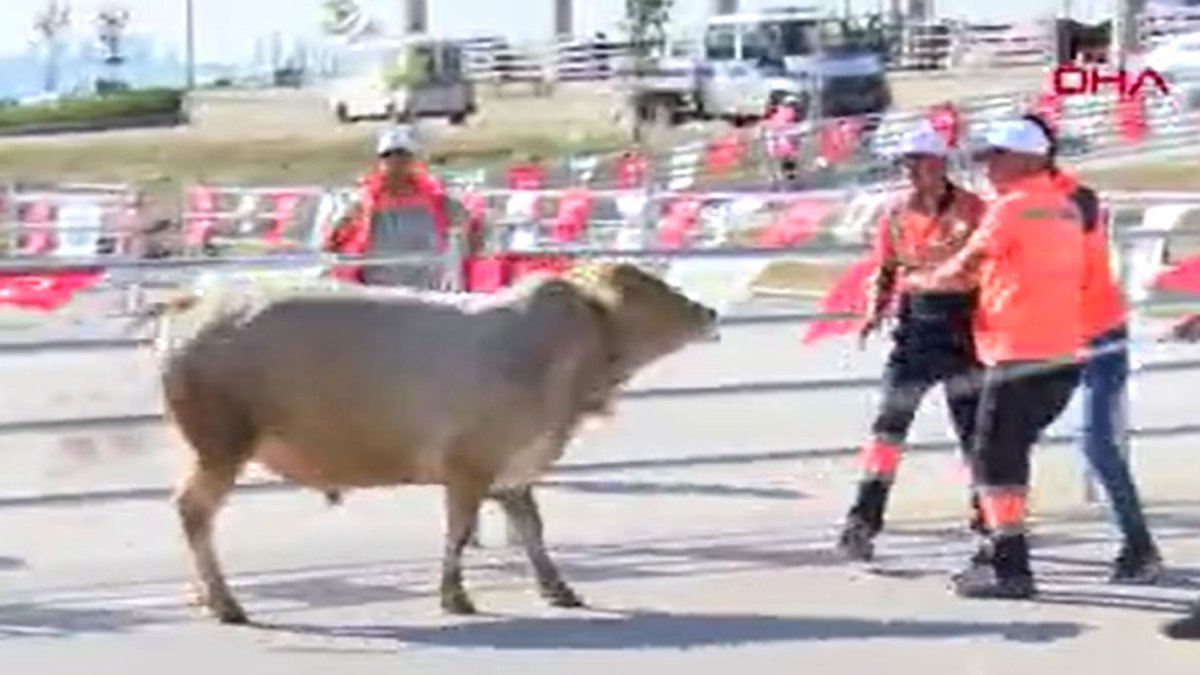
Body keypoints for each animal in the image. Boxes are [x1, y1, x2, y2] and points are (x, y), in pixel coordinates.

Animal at [136, 263, 715, 624]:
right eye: (644, 287)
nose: (708, 311)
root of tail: (196, 299)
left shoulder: (513, 471)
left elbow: (532, 530)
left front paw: (558, 588)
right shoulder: (469, 468)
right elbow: (457, 532)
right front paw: (455, 597)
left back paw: (207, 597)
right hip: (220, 446)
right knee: (194, 510)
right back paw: (226, 603)